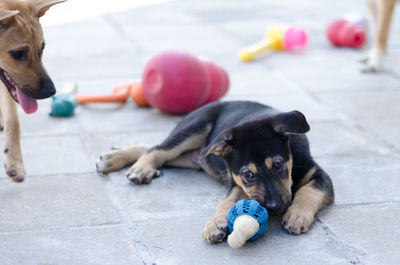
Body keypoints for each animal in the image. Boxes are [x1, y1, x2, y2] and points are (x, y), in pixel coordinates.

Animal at [95, 100, 332, 242]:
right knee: (158, 149)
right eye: (248, 175)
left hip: (197, 155)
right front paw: (215, 224)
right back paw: (136, 166)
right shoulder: (236, 183)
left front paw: (297, 216)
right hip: (195, 128)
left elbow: (309, 192)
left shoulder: (319, 175)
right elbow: (226, 202)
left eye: (277, 165)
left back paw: (117, 158)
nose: (275, 208)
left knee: (158, 152)